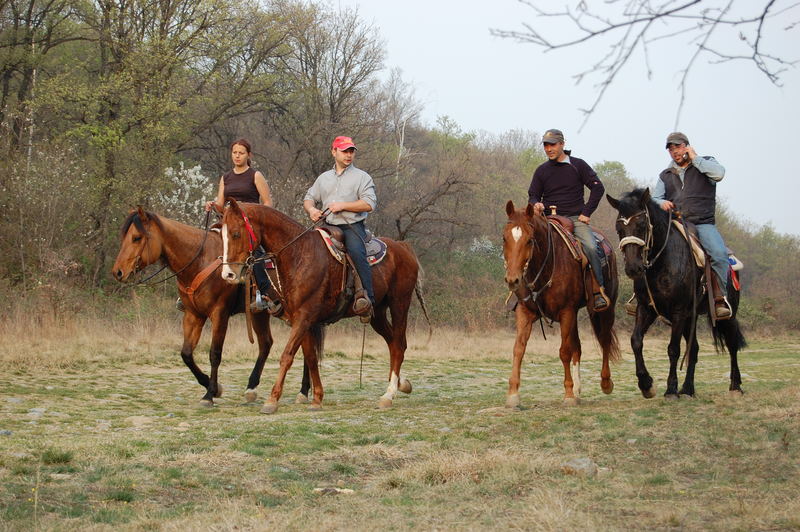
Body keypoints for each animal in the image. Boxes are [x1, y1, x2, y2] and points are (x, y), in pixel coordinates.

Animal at [112, 206, 312, 406]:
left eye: (137, 238)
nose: (118, 272)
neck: (200, 261)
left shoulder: (219, 314)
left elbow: (215, 354)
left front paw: (209, 394)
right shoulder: (193, 315)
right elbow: (186, 354)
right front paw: (213, 387)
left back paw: (303, 391)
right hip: (259, 313)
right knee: (268, 344)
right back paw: (252, 388)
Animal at [219, 197, 432, 414]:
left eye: (236, 233)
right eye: (221, 235)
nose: (228, 274)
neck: (299, 254)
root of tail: (403, 247)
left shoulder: (304, 316)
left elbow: (287, 355)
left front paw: (272, 400)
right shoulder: (301, 319)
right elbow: (311, 357)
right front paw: (317, 398)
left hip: (400, 304)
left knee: (398, 345)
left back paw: (389, 394)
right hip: (377, 313)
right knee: (393, 342)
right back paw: (401, 384)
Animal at [504, 201, 620, 408]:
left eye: (530, 240)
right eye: (504, 238)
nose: (513, 279)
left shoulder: (566, 312)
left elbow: (564, 352)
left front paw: (568, 394)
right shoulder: (525, 312)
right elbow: (519, 349)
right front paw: (513, 395)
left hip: (604, 309)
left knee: (604, 340)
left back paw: (606, 383)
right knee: (578, 347)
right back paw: (578, 390)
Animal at [608, 189, 748, 396]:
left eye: (642, 225)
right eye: (619, 229)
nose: (633, 268)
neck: (661, 263)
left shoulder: (678, 311)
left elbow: (673, 349)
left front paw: (671, 389)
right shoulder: (646, 309)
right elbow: (636, 341)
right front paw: (646, 384)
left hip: (727, 316)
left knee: (731, 345)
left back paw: (735, 386)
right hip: (691, 317)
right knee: (694, 349)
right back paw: (688, 388)